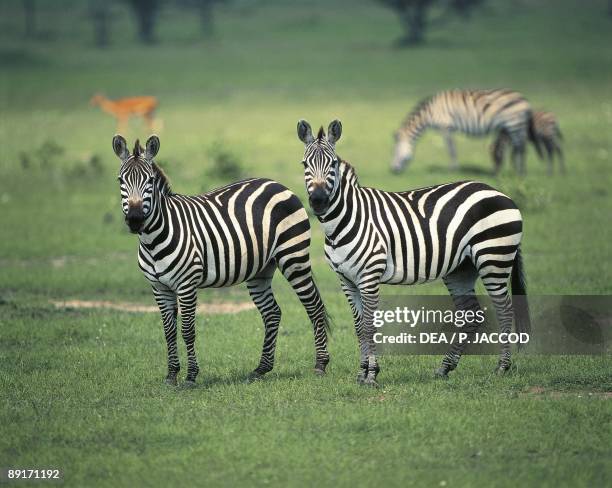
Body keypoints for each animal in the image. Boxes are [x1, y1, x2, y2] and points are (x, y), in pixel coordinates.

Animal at [110, 133, 330, 386]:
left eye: (149, 181)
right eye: (120, 181)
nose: (135, 219)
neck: (153, 239)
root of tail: (276, 184)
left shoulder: (187, 284)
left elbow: (187, 330)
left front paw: (190, 376)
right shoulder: (159, 287)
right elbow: (168, 331)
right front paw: (171, 375)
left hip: (293, 257)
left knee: (314, 306)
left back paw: (320, 364)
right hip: (261, 270)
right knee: (272, 313)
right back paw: (261, 368)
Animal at [300, 119, 532, 386]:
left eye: (333, 164)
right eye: (305, 164)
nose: (318, 201)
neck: (344, 222)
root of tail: (502, 193)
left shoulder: (369, 276)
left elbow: (370, 326)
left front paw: (371, 375)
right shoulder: (346, 279)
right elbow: (359, 327)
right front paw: (361, 373)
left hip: (494, 258)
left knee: (505, 310)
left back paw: (502, 367)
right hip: (461, 269)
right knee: (471, 315)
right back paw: (445, 367)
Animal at [390, 89, 544, 175]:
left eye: (395, 152)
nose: (393, 170)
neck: (429, 112)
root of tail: (525, 100)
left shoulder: (445, 127)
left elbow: (451, 149)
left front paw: (452, 169)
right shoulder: (448, 128)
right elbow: (452, 148)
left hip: (514, 124)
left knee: (521, 148)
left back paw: (520, 172)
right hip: (513, 126)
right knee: (518, 148)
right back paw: (515, 171)